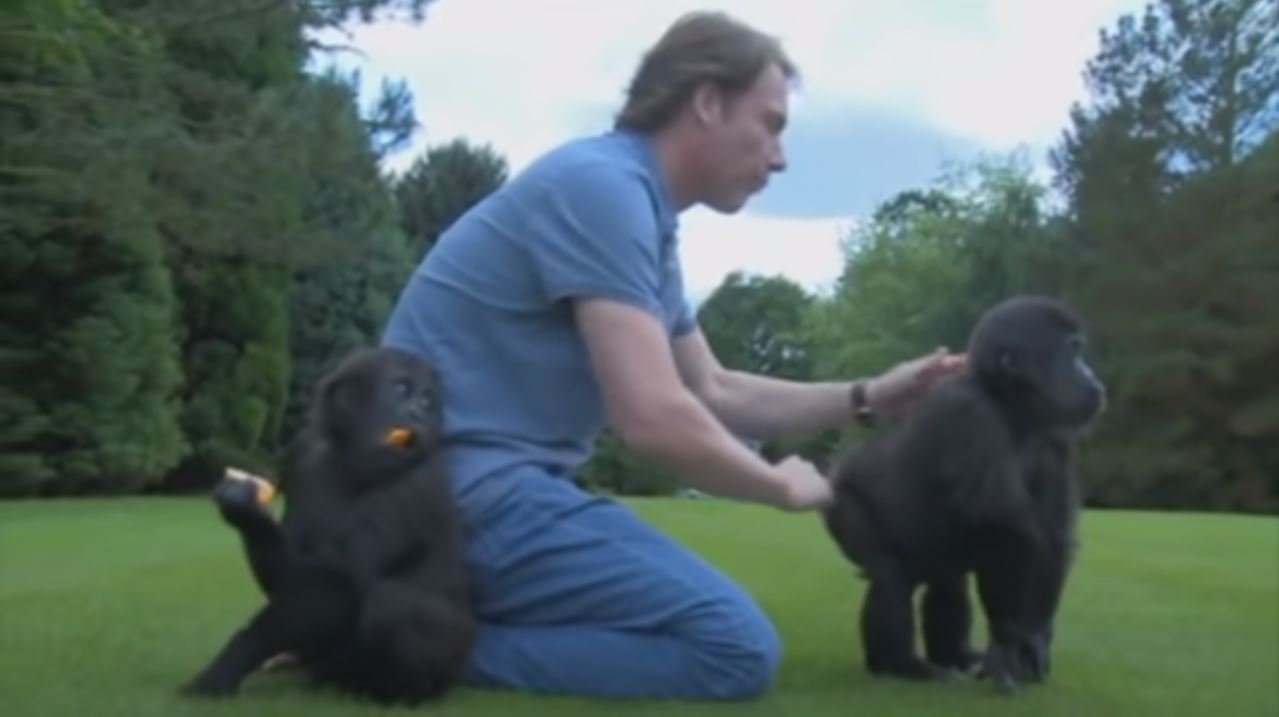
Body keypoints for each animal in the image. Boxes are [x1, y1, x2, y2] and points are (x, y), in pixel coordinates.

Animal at [182, 347, 478, 705]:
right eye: (402, 390)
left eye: (427, 400)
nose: (419, 413)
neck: (352, 464)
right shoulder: (304, 463)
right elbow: (292, 577)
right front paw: (247, 513)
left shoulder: (416, 484)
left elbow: (338, 580)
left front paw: (237, 656)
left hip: (454, 659)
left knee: (392, 605)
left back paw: (403, 694)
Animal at [823, 293, 1105, 690]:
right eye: (1071, 350)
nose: (1090, 375)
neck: (1008, 402)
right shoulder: (968, 414)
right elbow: (1010, 532)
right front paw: (1007, 640)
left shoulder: (1056, 440)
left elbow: (1051, 537)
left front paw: (1033, 637)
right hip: (842, 502)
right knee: (890, 575)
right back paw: (900, 665)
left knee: (947, 581)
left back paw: (952, 655)